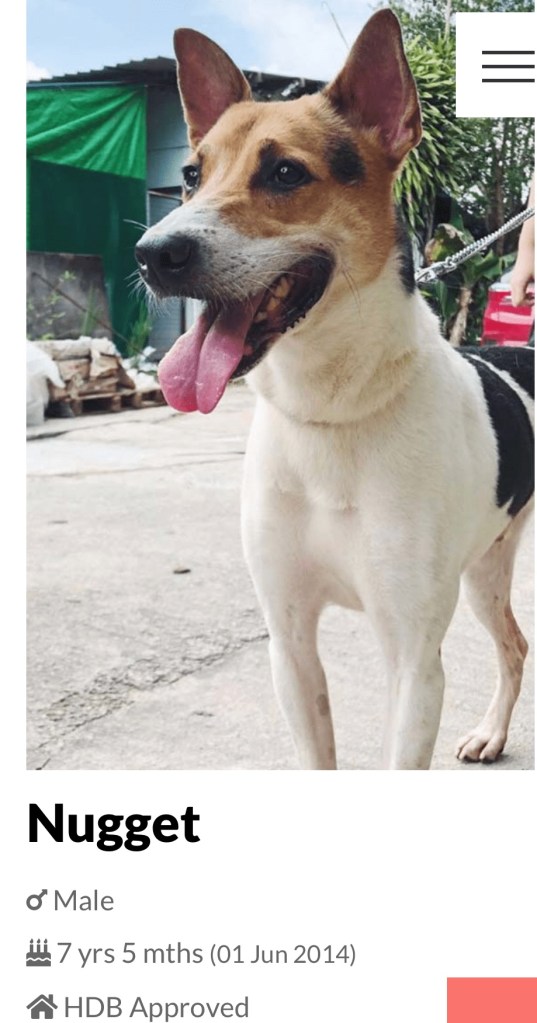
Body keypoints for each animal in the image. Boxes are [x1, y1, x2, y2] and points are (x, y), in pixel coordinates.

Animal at [135, 9, 534, 769]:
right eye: (191, 175)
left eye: (286, 172)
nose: (153, 255)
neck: (333, 407)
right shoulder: (288, 640)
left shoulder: (413, 661)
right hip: (484, 568)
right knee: (513, 643)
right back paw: (493, 732)